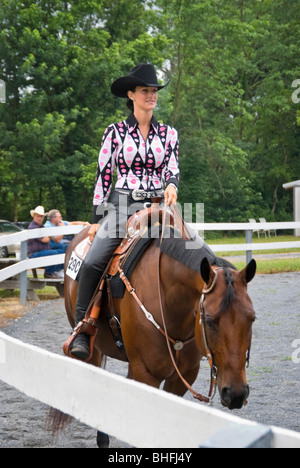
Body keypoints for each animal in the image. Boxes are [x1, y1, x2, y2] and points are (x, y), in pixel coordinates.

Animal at [62, 224, 255, 446]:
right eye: (209, 320)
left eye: (252, 319)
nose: (236, 394)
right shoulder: (147, 374)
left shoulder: (183, 375)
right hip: (93, 350)